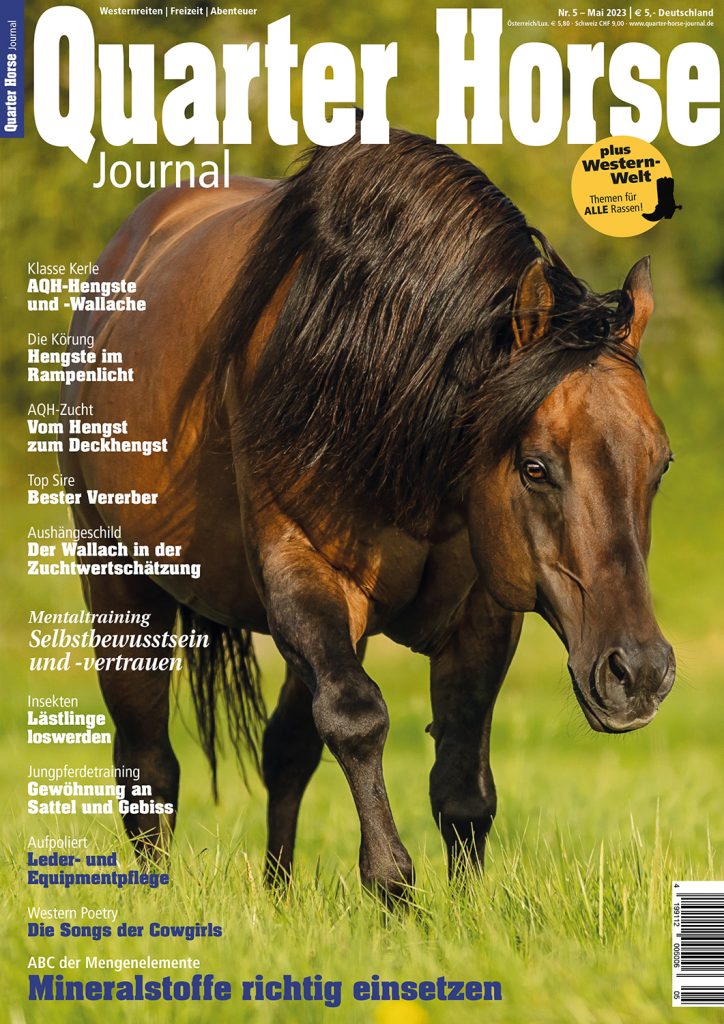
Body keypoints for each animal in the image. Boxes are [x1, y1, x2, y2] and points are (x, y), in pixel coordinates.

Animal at [60, 127, 676, 900]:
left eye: (660, 465)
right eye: (535, 467)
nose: (639, 675)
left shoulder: (480, 610)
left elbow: (461, 776)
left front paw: (464, 909)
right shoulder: (303, 572)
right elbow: (357, 718)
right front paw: (392, 887)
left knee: (284, 751)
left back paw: (280, 894)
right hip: (120, 586)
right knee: (149, 762)